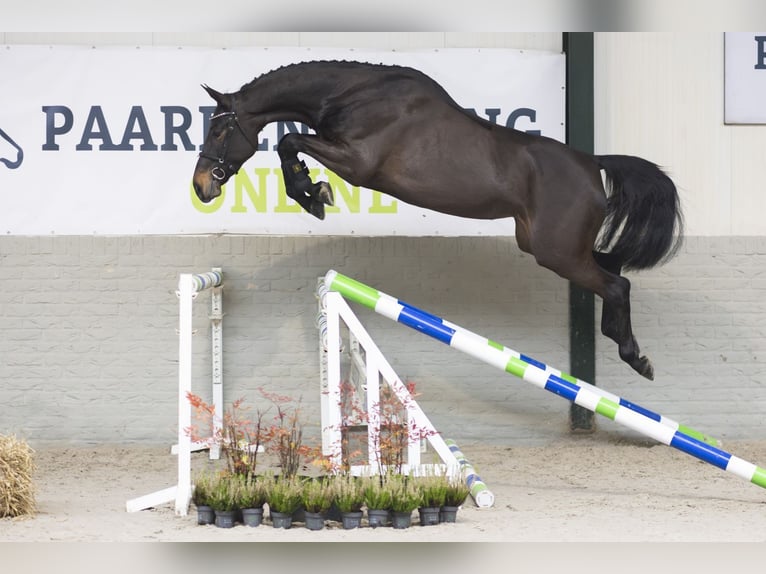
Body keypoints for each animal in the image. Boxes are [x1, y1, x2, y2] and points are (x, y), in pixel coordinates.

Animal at [194, 59, 684, 382]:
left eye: (218, 130)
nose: (201, 186)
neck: (351, 95)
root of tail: (593, 163)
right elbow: (291, 143)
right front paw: (312, 192)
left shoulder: (358, 162)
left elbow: (290, 141)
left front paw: (311, 193)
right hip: (545, 245)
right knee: (612, 268)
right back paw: (620, 340)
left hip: (556, 252)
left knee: (617, 283)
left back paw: (635, 357)